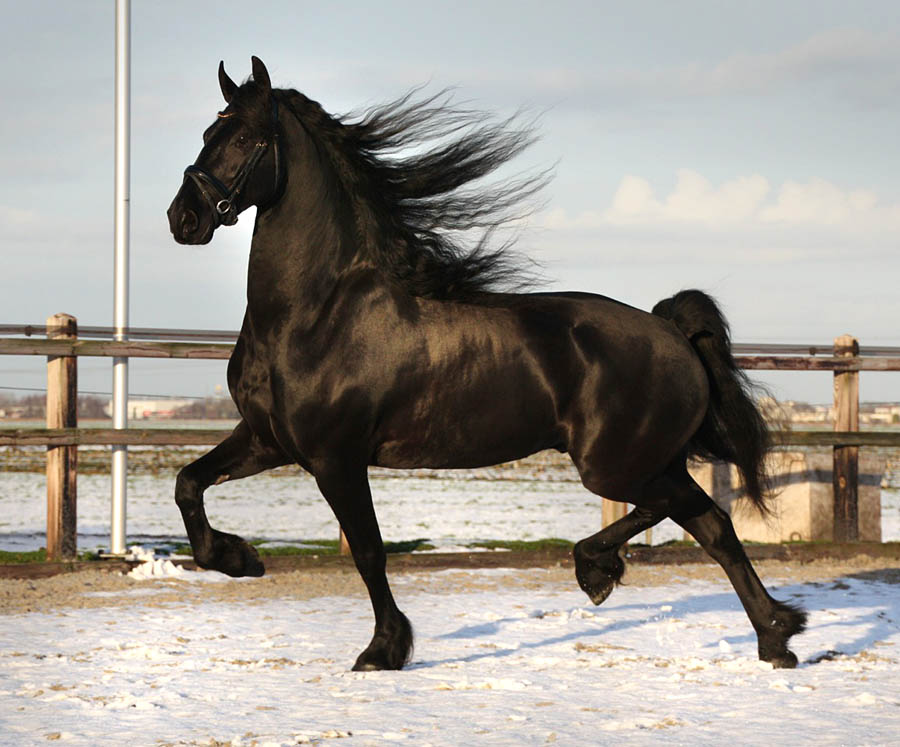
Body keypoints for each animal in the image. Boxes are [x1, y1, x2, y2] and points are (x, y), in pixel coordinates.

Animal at [169, 55, 808, 668]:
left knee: (703, 518)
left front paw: (383, 651)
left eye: (247, 138)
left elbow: (370, 552)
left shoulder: (336, 458)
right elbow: (188, 483)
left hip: (616, 466)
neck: (318, 312)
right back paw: (769, 636)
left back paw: (631, 581)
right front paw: (239, 558)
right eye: (206, 132)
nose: (184, 219)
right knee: (707, 524)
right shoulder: (267, 439)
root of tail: (671, 330)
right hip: (647, 460)